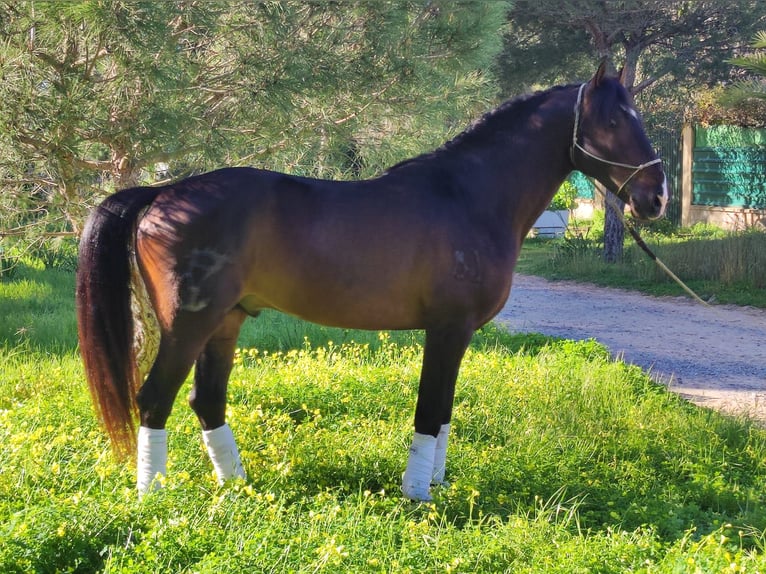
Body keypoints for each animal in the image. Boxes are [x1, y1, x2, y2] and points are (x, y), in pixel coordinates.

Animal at [75, 63, 668, 502]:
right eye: (613, 121)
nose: (656, 197)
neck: (468, 197)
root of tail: (161, 192)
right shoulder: (448, 329)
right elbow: (430, 411)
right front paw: (418, 496)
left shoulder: (458, 335)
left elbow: (445, 412)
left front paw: (436, 487)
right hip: (187, 325)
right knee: (154, 399)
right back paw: (154, 499)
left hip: (225, 323)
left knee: (207, 401)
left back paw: (237, 485)